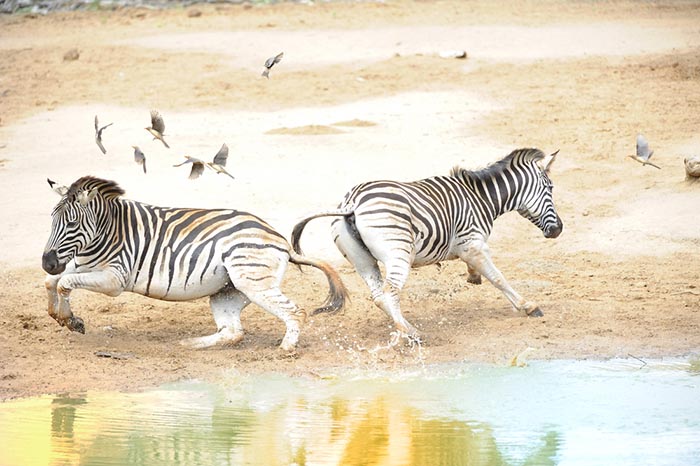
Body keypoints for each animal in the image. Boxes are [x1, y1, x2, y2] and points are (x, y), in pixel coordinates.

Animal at [41, 176, 348, 351]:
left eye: (72, 224)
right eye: (51, 220)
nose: (47, 262)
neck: (108, 232)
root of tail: (279, 239)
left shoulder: (114, 279)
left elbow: (64, 283)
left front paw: (71, 320)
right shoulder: (85, 266)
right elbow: (52, 282)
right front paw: (62, 316)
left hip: (253, 282)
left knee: (295, 312)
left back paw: (286, 348)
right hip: (227, 292)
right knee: (232, 333)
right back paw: (190, 344)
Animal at [291, 148, 563, 341]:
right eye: (550, 188)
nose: (559, 229)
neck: (480, 198)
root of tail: (352, 203)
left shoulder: (468, 246)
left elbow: (480, 269)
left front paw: (473, 276)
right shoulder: (474, 242)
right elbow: (498, 278)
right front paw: (528, 306)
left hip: (362, 261)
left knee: (379, 296)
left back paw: (411, 330)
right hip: (399, 254)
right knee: (390, 291)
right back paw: (407, 335)